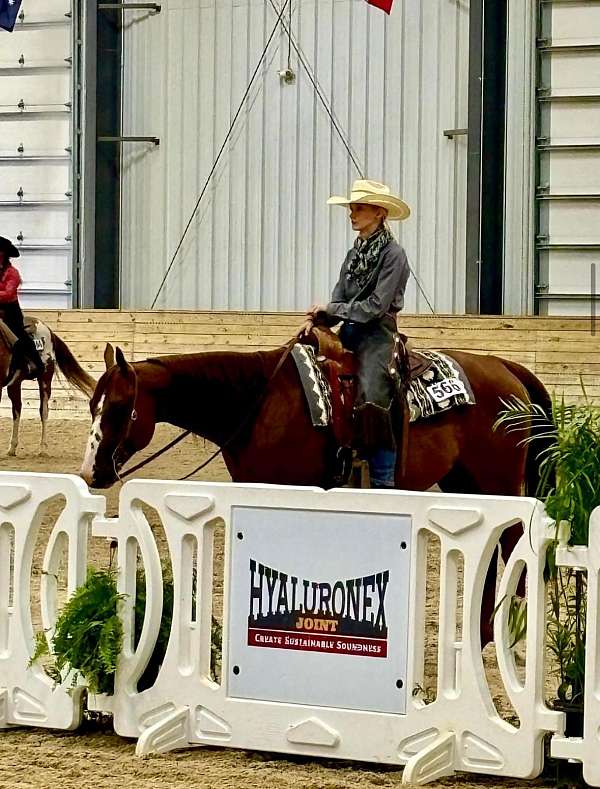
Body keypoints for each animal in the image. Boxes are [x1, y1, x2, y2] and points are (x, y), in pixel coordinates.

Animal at [81, 342, 552, 644]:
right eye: (91, 405)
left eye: (119, 407)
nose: (91, 471)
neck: (257, 404)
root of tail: (505, 367)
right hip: (464, 481)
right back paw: (483, 632)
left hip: (498, 481)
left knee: (513, 541)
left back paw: (505, 629)